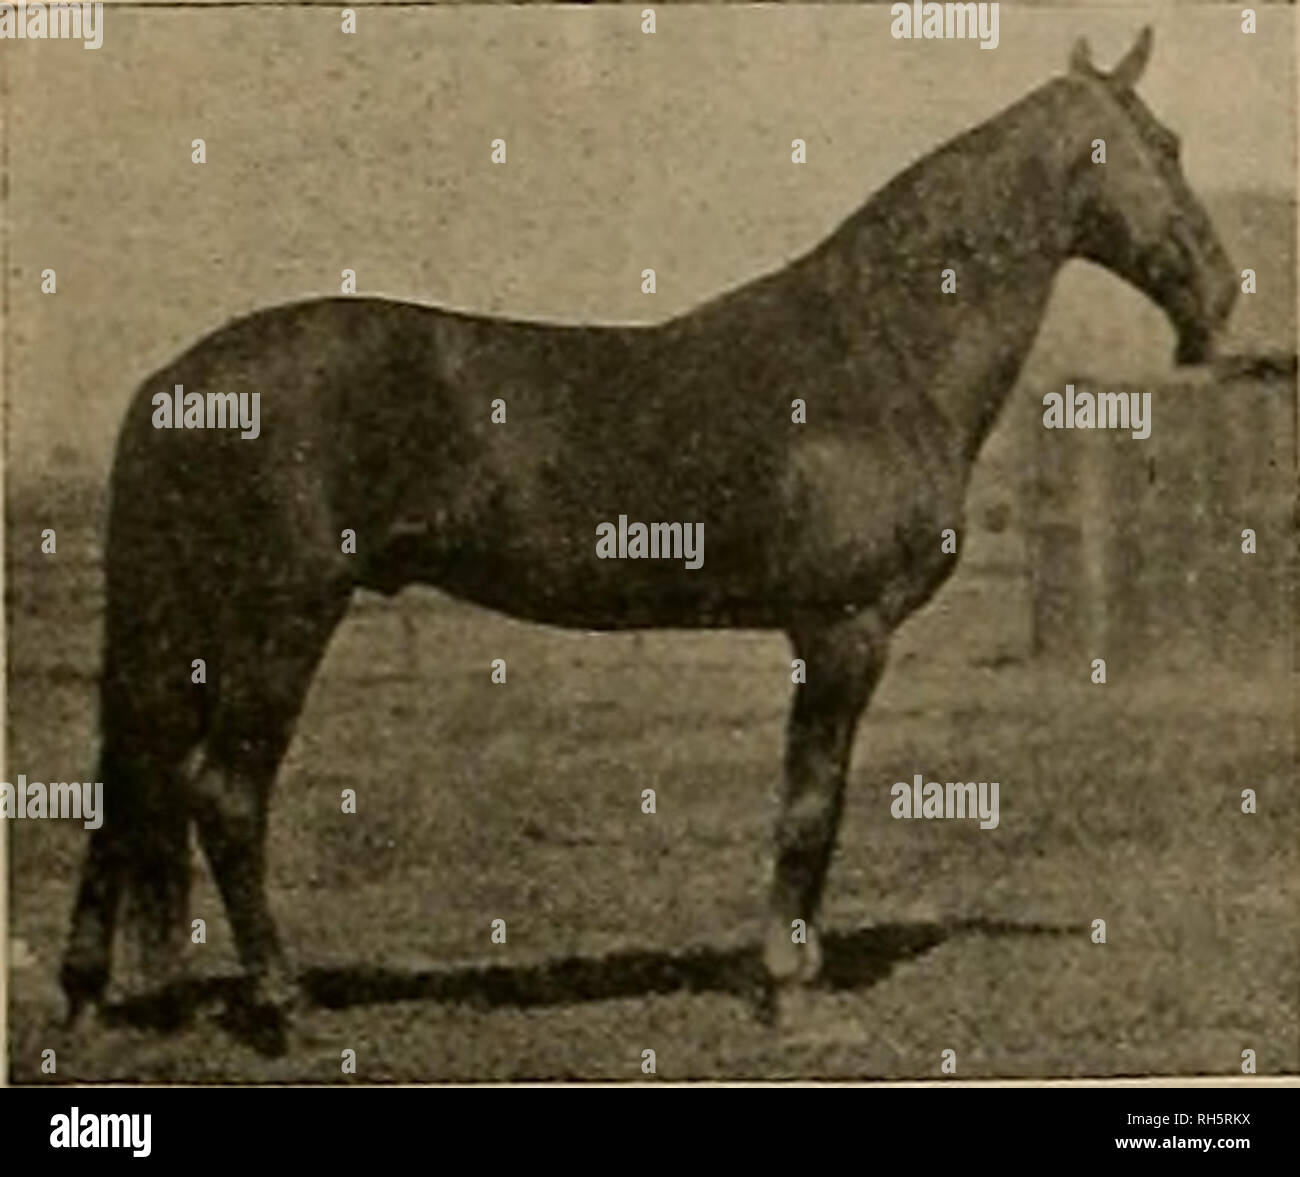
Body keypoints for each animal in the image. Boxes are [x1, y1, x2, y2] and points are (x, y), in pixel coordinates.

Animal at [61, 27, 1235, 1034]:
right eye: (1165, 145)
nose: (1221, 295)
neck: (879, 350)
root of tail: (179, 378)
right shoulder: (843, 631)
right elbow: (810, 808)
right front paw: (790, 990)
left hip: (193, 627)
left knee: (131, 784)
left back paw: (88, 996)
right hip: (283, 618)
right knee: (224, 793)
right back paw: (282, 1000)